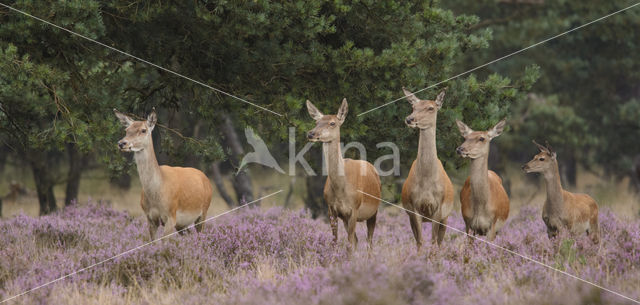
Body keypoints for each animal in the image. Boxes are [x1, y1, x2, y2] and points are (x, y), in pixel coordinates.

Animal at [114, 108, 214, 239]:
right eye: (126, 130)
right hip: (182, 225)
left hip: (203, 212)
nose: (122, 143)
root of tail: (206, 179)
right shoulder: (150, 218)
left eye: (143, 130)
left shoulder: (171, 216)